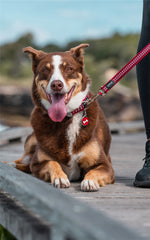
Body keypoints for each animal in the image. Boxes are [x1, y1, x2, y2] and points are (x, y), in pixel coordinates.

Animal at [13, 43, 114, 191]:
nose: (56, 84)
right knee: (20, 161)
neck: (67, 117)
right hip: (32, 140)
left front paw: (89, 181)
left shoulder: (106, 165)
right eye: (45, 69)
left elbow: (93, 171)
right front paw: (59, 177)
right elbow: (51, 163)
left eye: (69, 68)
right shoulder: (37, 164)